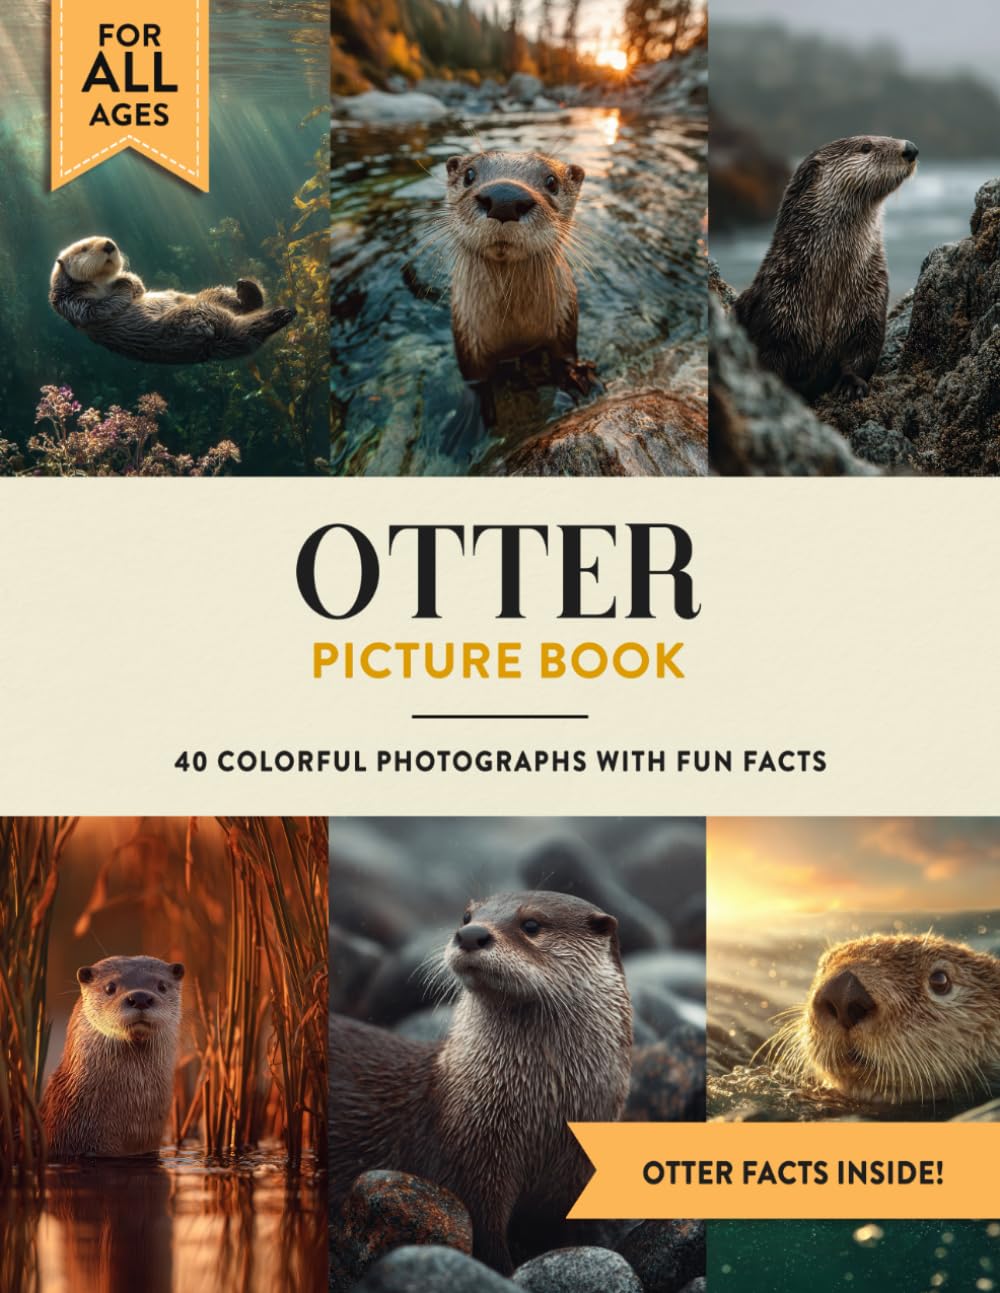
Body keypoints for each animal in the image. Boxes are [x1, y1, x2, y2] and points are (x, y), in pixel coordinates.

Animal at [49, 236, 295, 364]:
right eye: (84, 248)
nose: (109, 244)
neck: (101, 282)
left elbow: (138, 287)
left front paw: (127, 278)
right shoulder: (74, 304)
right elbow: (101, 308)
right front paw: (123, 283)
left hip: (210, 298)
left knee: (243, 310)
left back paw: (247, 288)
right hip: (194, 316)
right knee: (244, 330)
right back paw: (281, 314)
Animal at [329, 890, 632, 1274]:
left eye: (531, 924)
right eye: (466, 916)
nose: (471, 934)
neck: (544, 1122)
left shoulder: (575, 1176)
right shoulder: (473, 1165)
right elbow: (486, 1236)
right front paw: (504, 1271)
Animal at [443, 152, 591, 388]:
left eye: (552, 182)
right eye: (469, 175)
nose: (504, 199)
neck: (515, 338)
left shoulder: (566, 321)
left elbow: (565, 353)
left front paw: (575, 374)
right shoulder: (468, 343)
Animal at [734, 136, 918, 401]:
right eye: (866, 147)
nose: (910, 148)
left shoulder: (871, 299)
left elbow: (863, 353)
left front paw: (851, 385)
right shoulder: (774, 311)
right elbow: (768, 361)